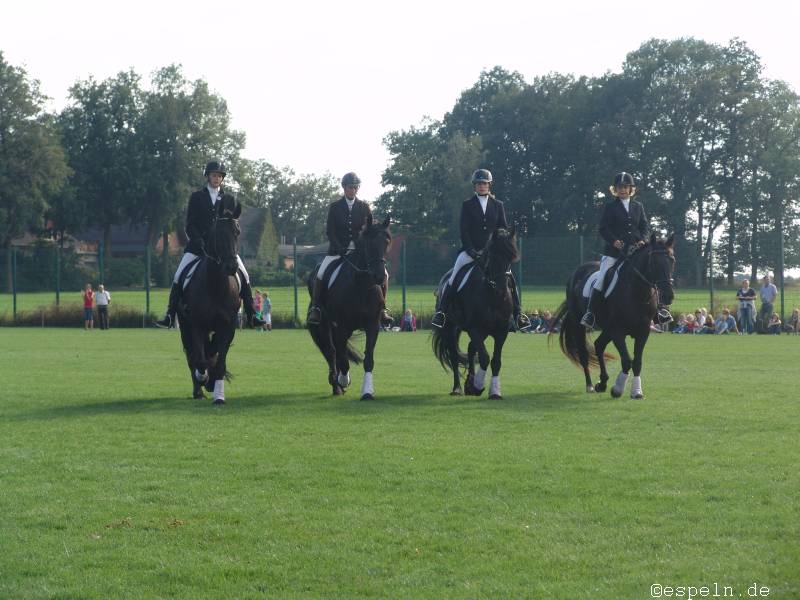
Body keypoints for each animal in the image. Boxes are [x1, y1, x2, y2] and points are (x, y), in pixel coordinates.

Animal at [176, 196, 242, 405]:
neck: (215, 286)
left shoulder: (228, 327)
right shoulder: (196, 325)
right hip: (185, 326)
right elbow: (199, 360)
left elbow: (219, 362)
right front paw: (204, 379)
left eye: (237, 232)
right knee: (192, 356)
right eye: (218, 234)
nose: (231, 266)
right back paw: (198, 388)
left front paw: (218, 395)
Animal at [307, 217, 392, 400]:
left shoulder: (372, 325)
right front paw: (343, 380)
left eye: (387, 242)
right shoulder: (342, 327)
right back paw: (337, 385)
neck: (362, 285)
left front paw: (367, 392)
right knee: (332, 352)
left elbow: (368, 359)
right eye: (368, 242)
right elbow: (342, 359)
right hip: (325, 325)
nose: (380, 276)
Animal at [431, 226, 519, 399]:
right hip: (450, 328)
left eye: (511, 257)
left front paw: (494, 391)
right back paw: (458, 388)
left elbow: (496, 361)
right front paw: (478, 386)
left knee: (471, 349)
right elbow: (484, 358)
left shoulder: (501, 331)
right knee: (454, 355)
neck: (491, 294)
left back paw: (469, 384)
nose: (501, 291)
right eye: (493, 255)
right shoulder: (475, 328)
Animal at [553, 234, 675, 399]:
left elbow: (637, 362)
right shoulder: (618, 331)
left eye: (672, 260)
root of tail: (577, 272)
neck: (635, 292)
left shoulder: (643, 331)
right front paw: (617, 389)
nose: (669, 296)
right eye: (654, 262)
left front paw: (636, 391)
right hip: (579, 324)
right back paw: (590, 385)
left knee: (599, 345)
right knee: (584, 353)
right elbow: (627, 360)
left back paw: (602, 383)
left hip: (607, 328)